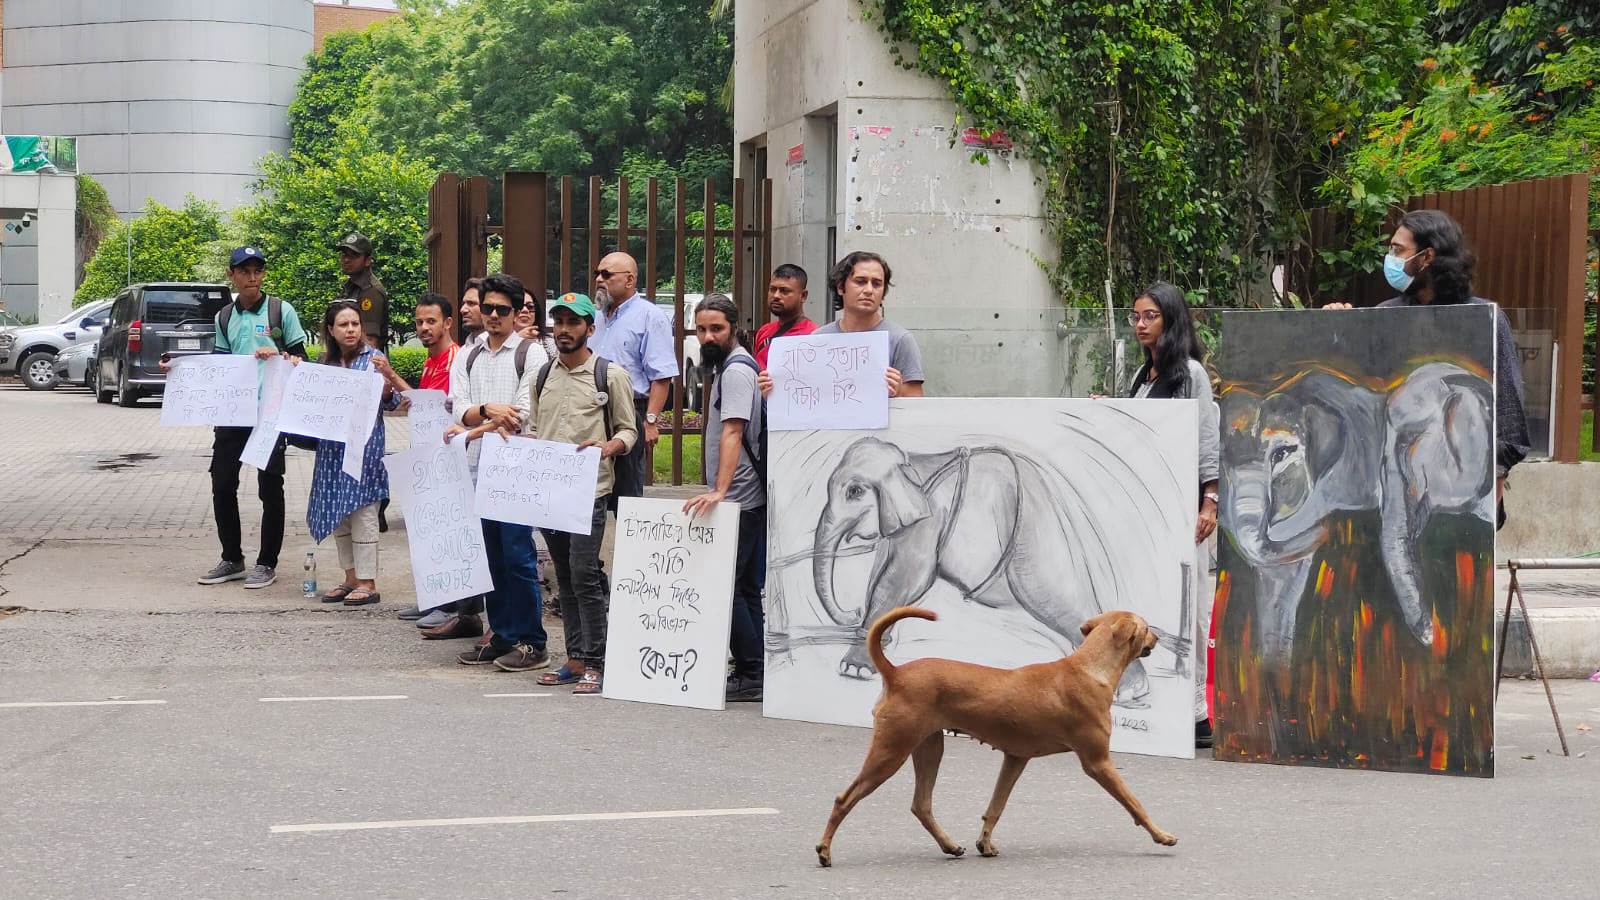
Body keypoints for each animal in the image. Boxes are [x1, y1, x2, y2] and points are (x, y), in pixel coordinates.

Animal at [812, 602, 1177, 864]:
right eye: (1147, 627)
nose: (1158, 638)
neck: (1089, 668)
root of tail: (895, 672)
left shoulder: (1015, 758)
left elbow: (996, 806)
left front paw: (984, 844)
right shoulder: (1098, 762)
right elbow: (1135, 803)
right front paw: (1162, 835)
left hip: (929, 747)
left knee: (921, 805)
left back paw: (950, 846)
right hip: (891, 752)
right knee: (844, 799)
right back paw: (825, 851)